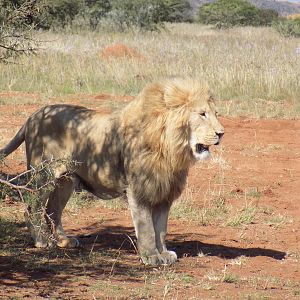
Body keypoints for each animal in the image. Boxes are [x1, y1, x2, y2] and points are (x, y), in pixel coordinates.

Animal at [1, 78, 224, 266]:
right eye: (202, 114)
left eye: (216, 114)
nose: (221, 133)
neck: (170, 146)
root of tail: (33, 115)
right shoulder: (139, 190)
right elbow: (147, 228)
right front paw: (151, 257)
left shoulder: (164, 191)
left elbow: (161, 228)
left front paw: (164, 253)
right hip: (43, 175)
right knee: (31, 208)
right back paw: (41, 241)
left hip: (66, 180)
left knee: (52, 210)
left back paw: (64, 240)